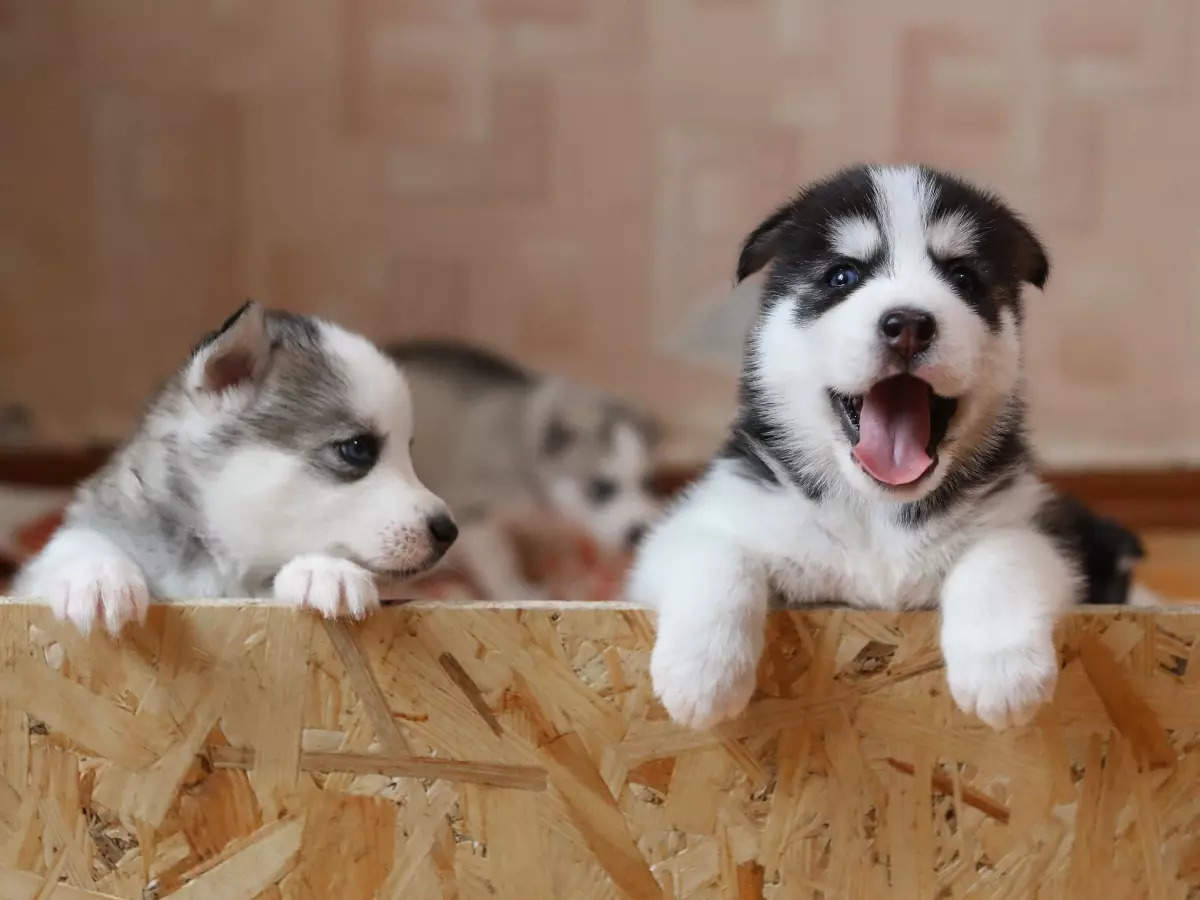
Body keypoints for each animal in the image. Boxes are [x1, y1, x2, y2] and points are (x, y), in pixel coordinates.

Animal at [16, 303, 456, 633]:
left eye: (408, 452)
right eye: (358, 449)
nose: (448, 531)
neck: (217, 565)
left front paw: (325, 570)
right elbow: (78, 541)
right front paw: (98, 575)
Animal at [388, 340, 662, 602]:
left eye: (647, 481)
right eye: (601, 487)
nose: (638, 532)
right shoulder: (474, 514)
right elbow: (500, 562)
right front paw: (516, 592)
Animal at [628, 164, 1142, 734]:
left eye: (963, 278)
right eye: (842, 277)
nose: (909, 324)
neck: (878, 515)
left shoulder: (1036, 526)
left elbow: (1001, 554)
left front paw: (1002, 673)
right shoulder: (707, 518)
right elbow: (717, 556)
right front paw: (701, 674)